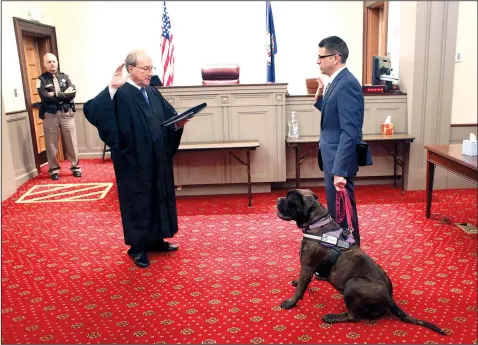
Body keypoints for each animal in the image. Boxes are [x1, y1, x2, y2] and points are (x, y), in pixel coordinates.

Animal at [276, 188, 448, 334]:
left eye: (290, 200)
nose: (278, 199)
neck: (317, 222)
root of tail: (389, 298)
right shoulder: (308, 268)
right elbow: (303, 282)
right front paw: (297, 282)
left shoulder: (307, 266)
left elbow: (299, 290)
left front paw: (291, 302)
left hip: (353, 284)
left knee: (353, 317)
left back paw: (332, 317)